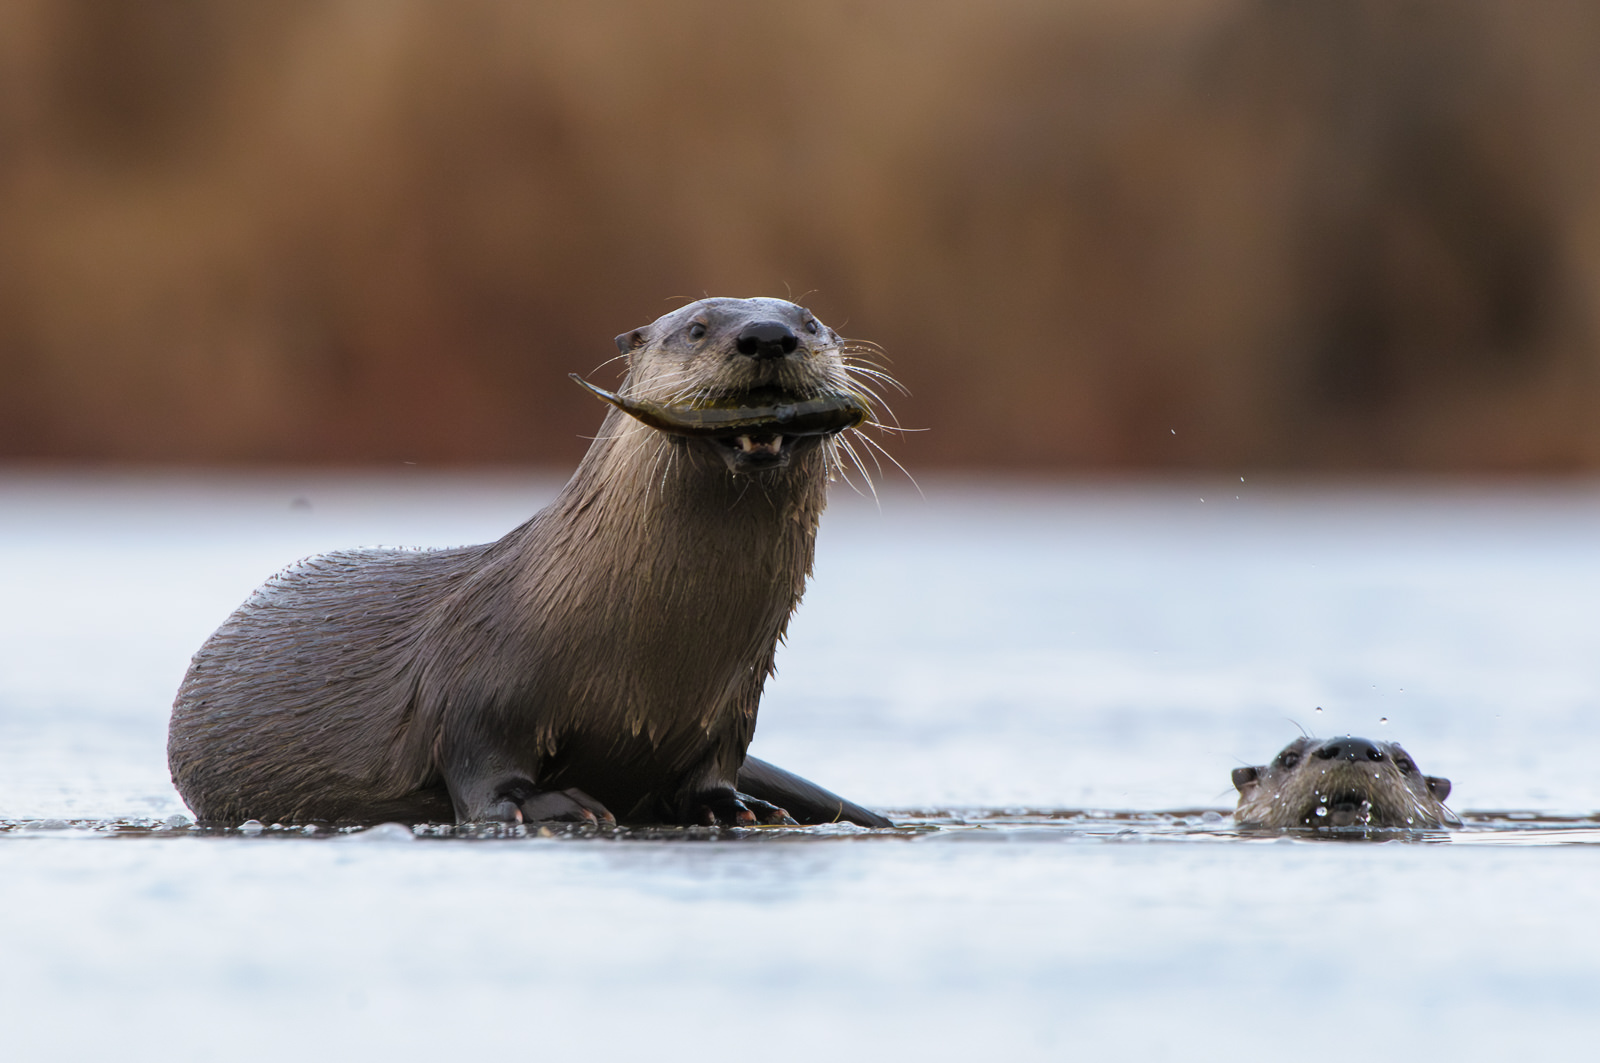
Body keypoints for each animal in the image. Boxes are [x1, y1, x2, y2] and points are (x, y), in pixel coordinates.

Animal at [168, 297, 893, 829]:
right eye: (696, 328)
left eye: (810, 322)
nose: (769, 336)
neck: (653, 658)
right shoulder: (477, 682)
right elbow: (479, 762)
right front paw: (551, 805)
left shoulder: (733, 704)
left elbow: (712, 773)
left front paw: (738, 806)